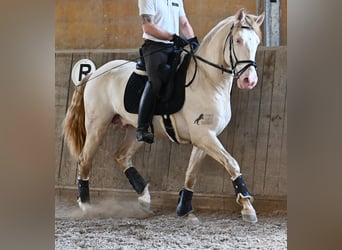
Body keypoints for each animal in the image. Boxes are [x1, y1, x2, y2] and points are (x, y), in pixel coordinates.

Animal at [63, 8, 264, 223]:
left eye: (256, 42)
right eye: (238, 40)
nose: (249, 80)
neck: (208, 80)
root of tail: (94, 73)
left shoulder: (205, 138)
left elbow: (191, 174)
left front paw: (185, 209)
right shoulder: (204, 137)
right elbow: (232, 164)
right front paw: (248, 207)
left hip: (135, 130)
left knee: (121, 156)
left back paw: (144, 198)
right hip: (97, 126)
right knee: (85, 160)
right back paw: (86, 206)